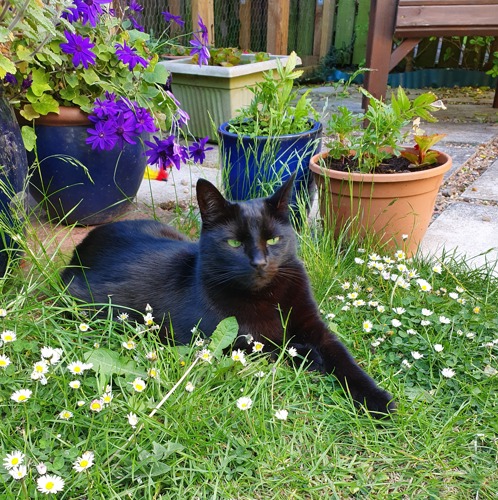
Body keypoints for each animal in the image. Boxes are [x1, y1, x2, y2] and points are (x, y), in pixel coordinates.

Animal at [63, 175, 396, 414]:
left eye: (273, 240)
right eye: (234, 243)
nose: (259, 262)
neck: (268, 297)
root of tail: (86, 241)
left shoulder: (315, 326)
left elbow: (344, 358)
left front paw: (379, 400)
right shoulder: (221, 342)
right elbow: (273, 347)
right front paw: (308, 356)